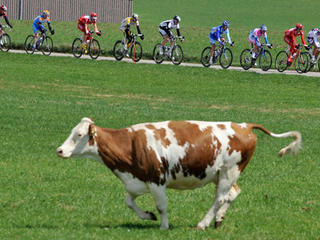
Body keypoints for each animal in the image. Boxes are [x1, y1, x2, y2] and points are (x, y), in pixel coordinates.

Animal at [57, 117, 300, 230]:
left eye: (79, 135)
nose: (59, 150)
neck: (131, 144)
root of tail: (244, 125)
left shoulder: (157, 180)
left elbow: (161, 206)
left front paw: (163, 225)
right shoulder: (136, 181)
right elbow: (129, 202)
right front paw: (147, 216)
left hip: (229, 171)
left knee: (220, 198)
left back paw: (203, 223)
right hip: (223, 174)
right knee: (232, 194)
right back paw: (218, 220)